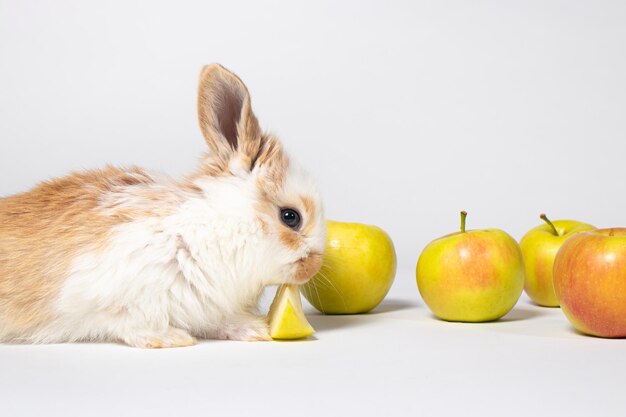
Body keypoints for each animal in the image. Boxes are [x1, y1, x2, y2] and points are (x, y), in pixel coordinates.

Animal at [1, 62, 326, 348]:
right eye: (290, 216)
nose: (313, 268)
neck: (214, 230)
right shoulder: (102, 292)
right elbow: (126, 321)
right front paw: (170, 339)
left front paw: (252, 330)